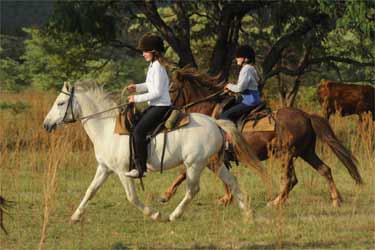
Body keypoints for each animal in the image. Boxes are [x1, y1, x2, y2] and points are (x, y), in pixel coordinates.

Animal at [43, 81, 262, 222]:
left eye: (60, 103)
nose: (46, 124)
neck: (106, 129)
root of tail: (215, 122)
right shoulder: (104, 168)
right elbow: (91, 190)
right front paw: (75, 216)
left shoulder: (122, 171)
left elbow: (131, 197)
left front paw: (155, 214)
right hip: (213, 163)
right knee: (232, 182)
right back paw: (248, 214)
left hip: (194, 164)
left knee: (193, 190)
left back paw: (173, 215)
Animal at [162, 67, 364, 207]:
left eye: (171, 88)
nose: (165, 109)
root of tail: (306, 116)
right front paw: (226, 199)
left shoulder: (208, 157)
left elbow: (185, 172)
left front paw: (166, 195)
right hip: (306, 152)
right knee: (325, 170)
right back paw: (336, 199)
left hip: (287, 155)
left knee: (291, 179)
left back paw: (276, 202)